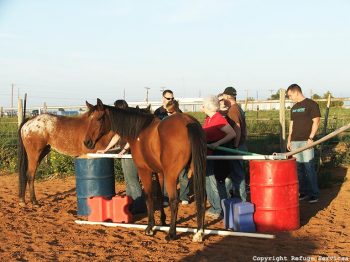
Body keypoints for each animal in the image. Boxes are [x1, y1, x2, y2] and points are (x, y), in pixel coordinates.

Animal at [83, 100, 206, 242]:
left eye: (99, 118)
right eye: (88, 118)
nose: (87, 142)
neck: (139, 131)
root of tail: (188, 122)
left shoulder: (144, 171)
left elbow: (149, 197)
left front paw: (150, 227)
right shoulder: (159, 172)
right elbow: (159, 195)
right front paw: (162, 221)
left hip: (172, 175)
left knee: (174, 200)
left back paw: (171, 233)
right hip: (196, 169)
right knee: (202, 197)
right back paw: (199, 233)